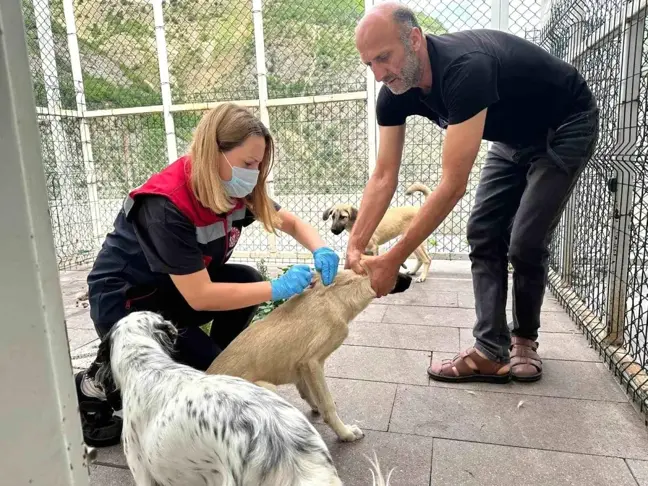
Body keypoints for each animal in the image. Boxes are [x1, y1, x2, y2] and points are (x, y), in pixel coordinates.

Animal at [205, 268, 412, 442]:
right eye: (395, 269)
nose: (411, 278)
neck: (337, 295)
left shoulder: (301, 367)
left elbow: (309, 392)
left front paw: (316, 406)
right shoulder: (312, 362)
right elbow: (328, 405)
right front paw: (345, 433)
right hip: (265, 389)